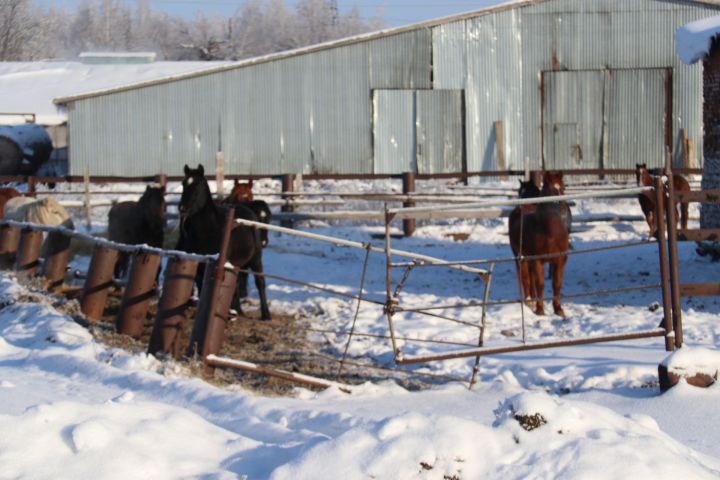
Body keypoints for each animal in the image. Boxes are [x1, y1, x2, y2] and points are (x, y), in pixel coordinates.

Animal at [179, 163, 272, 320]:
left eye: (198, 185)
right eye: (184, 183)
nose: (182, 208)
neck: (211, 229)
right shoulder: (201, 264)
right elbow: (202, 285)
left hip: (255, 259)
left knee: (260, 282)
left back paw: (265, 314)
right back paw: (237, 310)